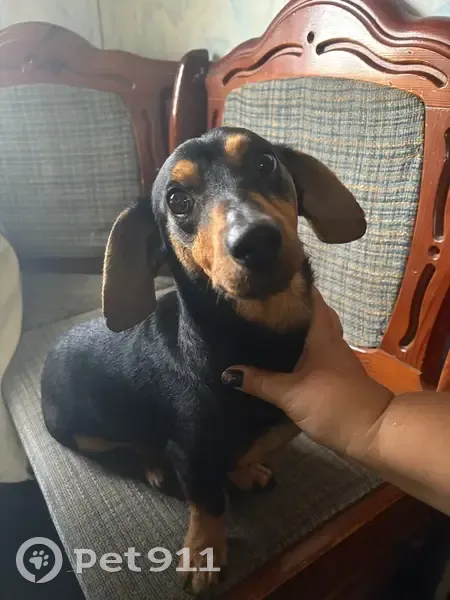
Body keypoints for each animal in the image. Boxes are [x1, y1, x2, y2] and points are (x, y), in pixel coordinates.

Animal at [41, 126, 366, 596]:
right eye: (177, 199)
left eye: (265, 163)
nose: (256, 241)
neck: (258, 339)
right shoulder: (192, 455)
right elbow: (208, 503)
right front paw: (203, 553)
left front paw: (244, 473)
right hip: (85, 435)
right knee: (133, 444)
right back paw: (156, 467)